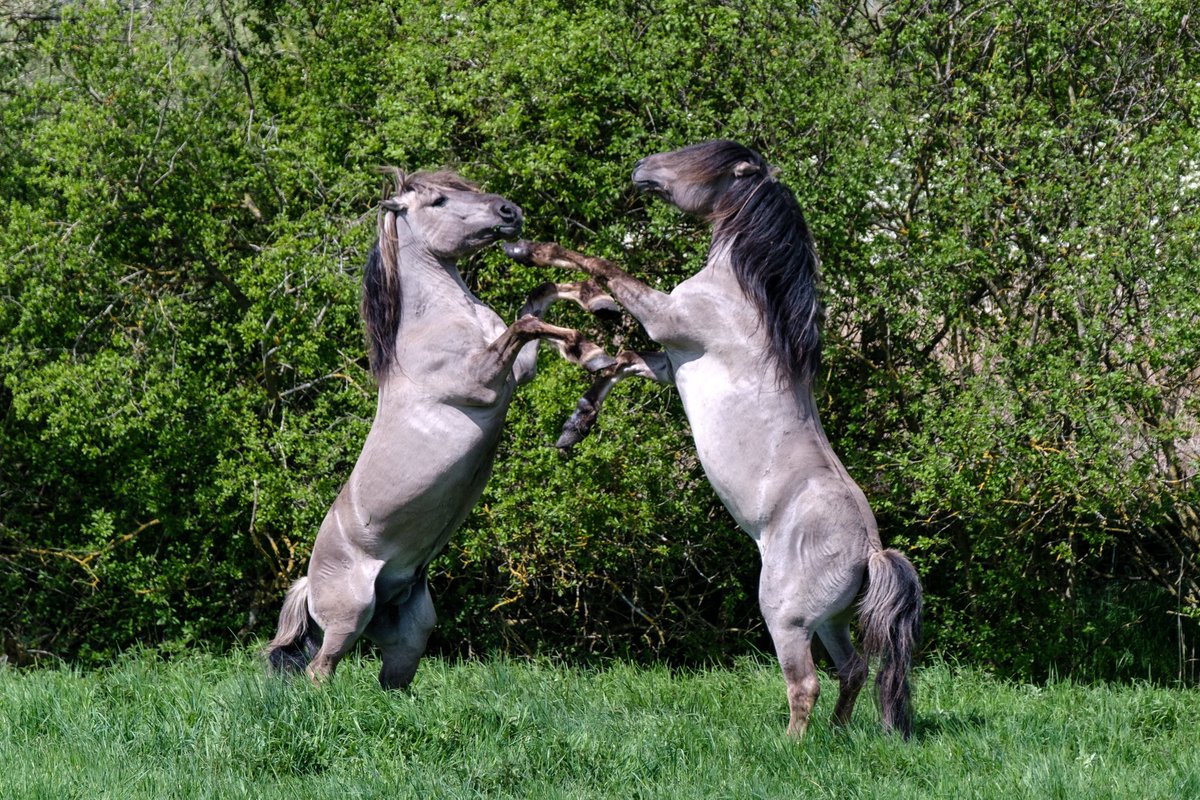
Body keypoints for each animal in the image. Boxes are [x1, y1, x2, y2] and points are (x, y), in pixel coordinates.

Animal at [265, 168, 616, 689]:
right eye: (439, 201)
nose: (510, 212)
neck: (438, 323)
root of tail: (309, 581)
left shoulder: (517, 372)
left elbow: (537, 299)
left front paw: (602, 304)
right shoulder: (482, 383)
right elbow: (528, 324)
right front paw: (590, 349)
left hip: (410, 633)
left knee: (391, 679)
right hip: (348, 619)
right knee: (318, 671)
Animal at [503, 140, 923, 739]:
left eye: (702, 160)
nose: (642, 169)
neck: (740, 295)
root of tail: (869, 550)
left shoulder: (666, 319)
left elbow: (601, 267)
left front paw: (527, 250)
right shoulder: (668, 358)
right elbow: (622, 361)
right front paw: (576, 421)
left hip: (786, 616)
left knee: (807, 683)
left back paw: (792, 746)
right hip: (832, 621)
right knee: (854, 669)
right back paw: (839, 733)